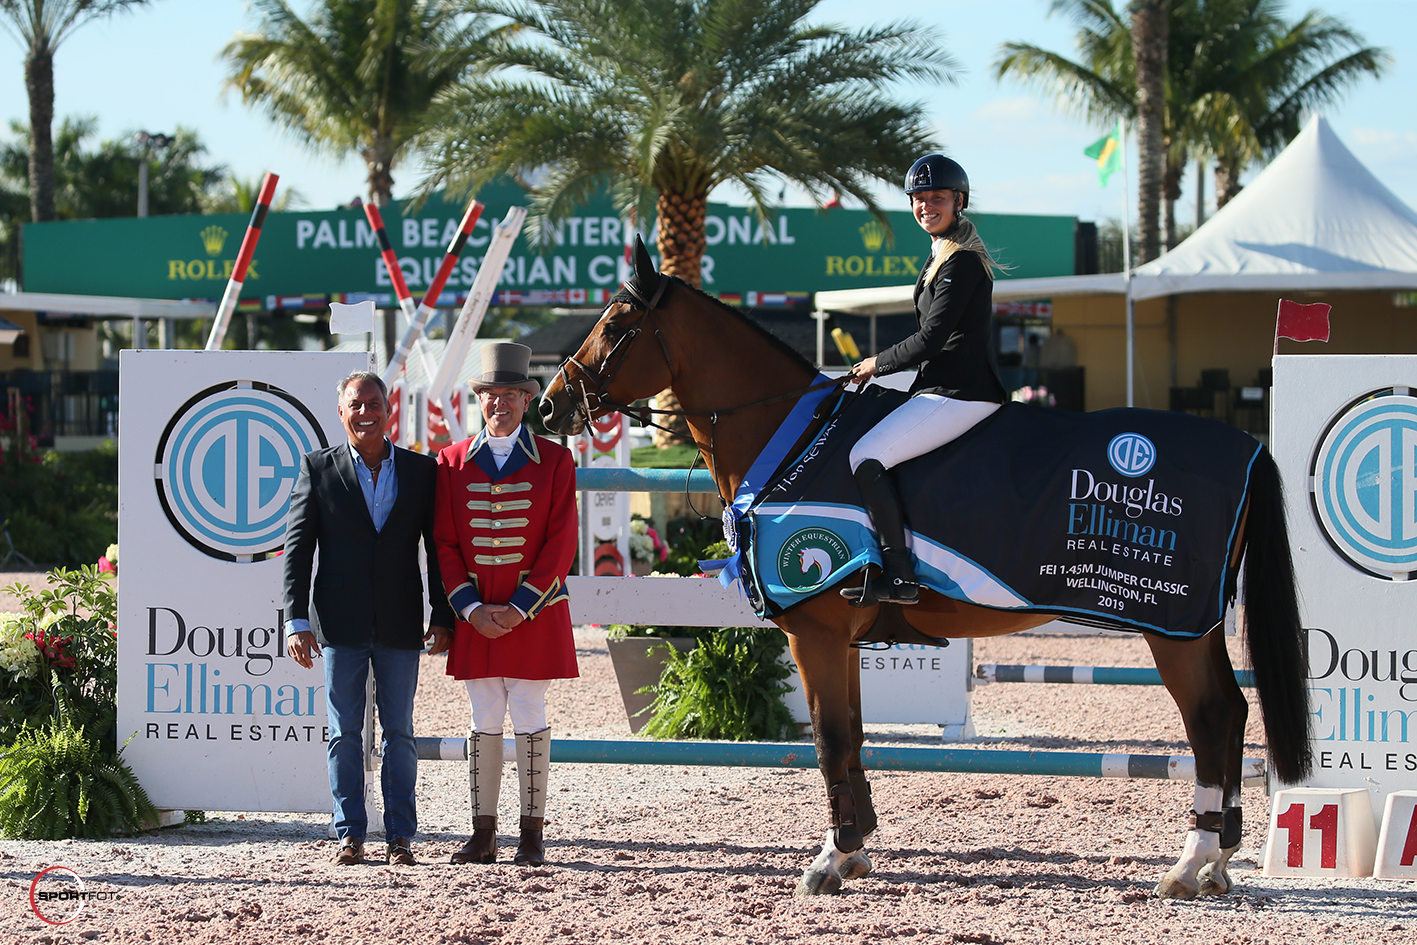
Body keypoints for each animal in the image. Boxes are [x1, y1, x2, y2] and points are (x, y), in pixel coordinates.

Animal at [535, 240, 1309, 901]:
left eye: (614, 324)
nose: (547, 406)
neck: (789, 436)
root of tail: (1247, 446)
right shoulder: (842, 637)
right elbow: (850, 734)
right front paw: (853, 849)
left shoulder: (814, 632)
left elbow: (829, 738)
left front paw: (829, 859)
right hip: (1191, 627)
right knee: (1231, 713)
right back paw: (1216, 861)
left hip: (1171, 624)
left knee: (1211, 719)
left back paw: (1188, 864)